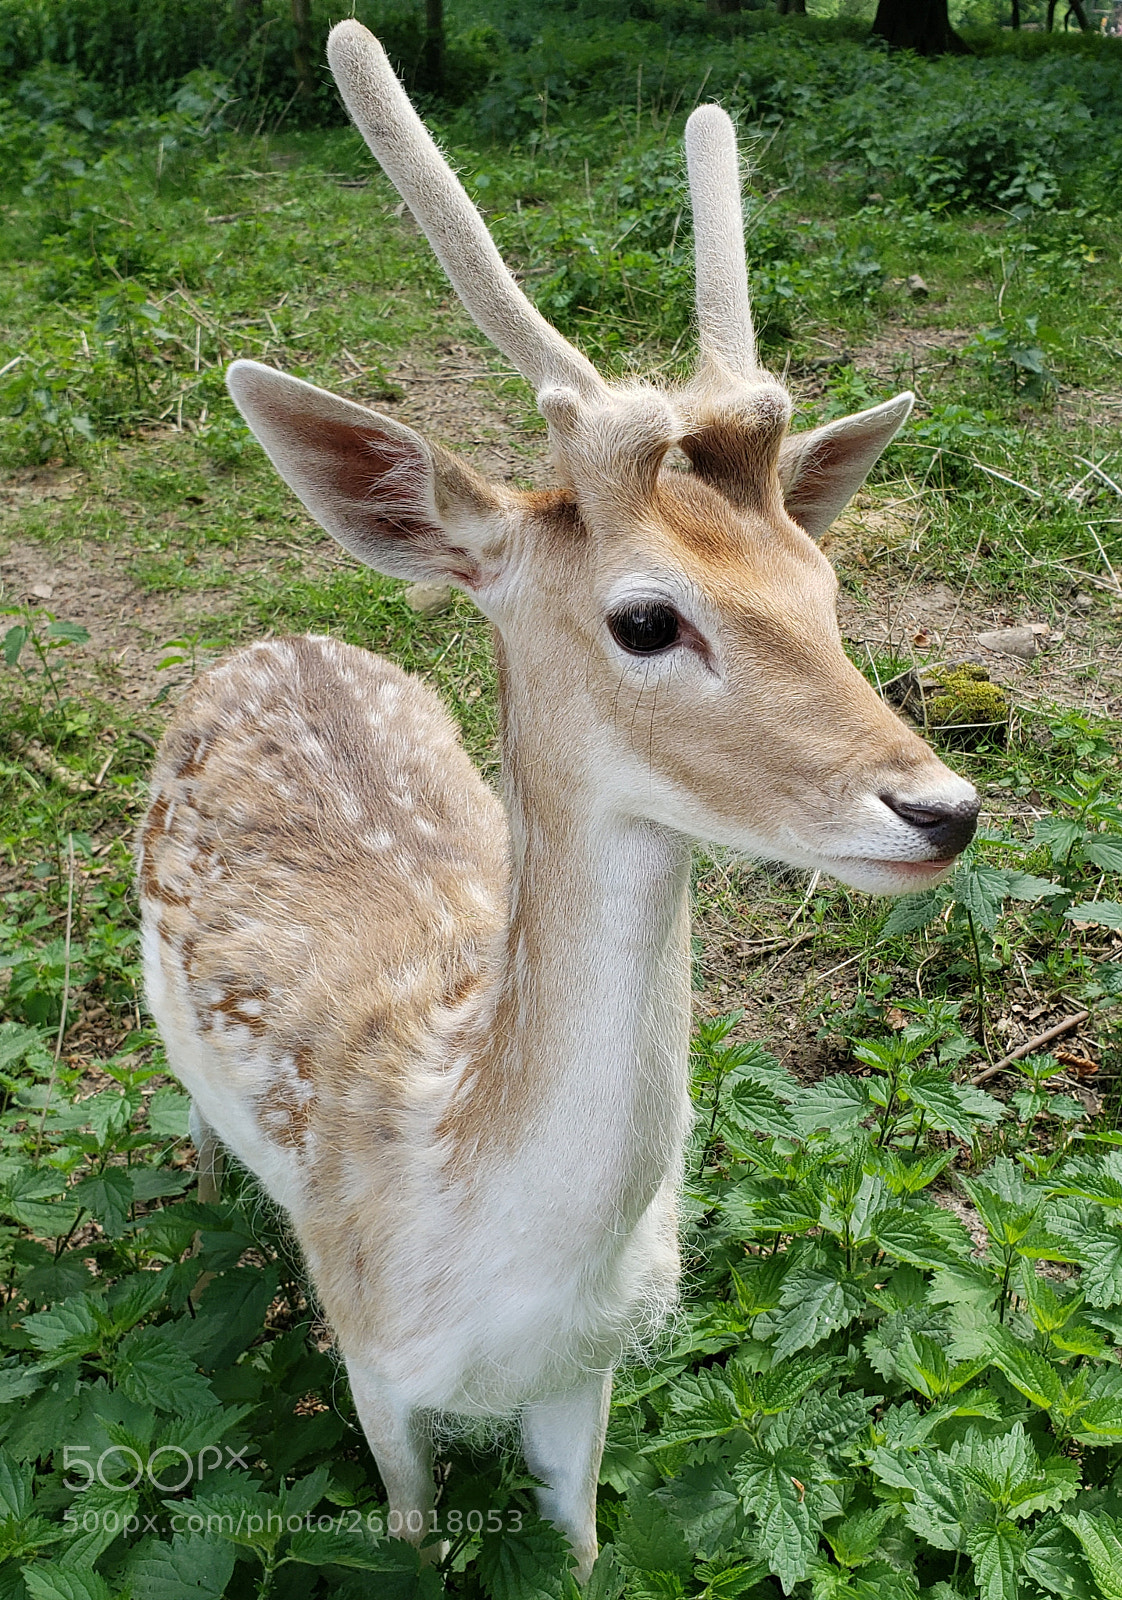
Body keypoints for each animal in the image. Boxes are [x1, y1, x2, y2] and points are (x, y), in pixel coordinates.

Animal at [137, 19, 980, 1583]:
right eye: (646, 619)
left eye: (823, 585)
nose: (942, 807)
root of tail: (271, 639)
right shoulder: (373, 1367)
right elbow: (407, 1531)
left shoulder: (588, 1385)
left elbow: (586, 1548)